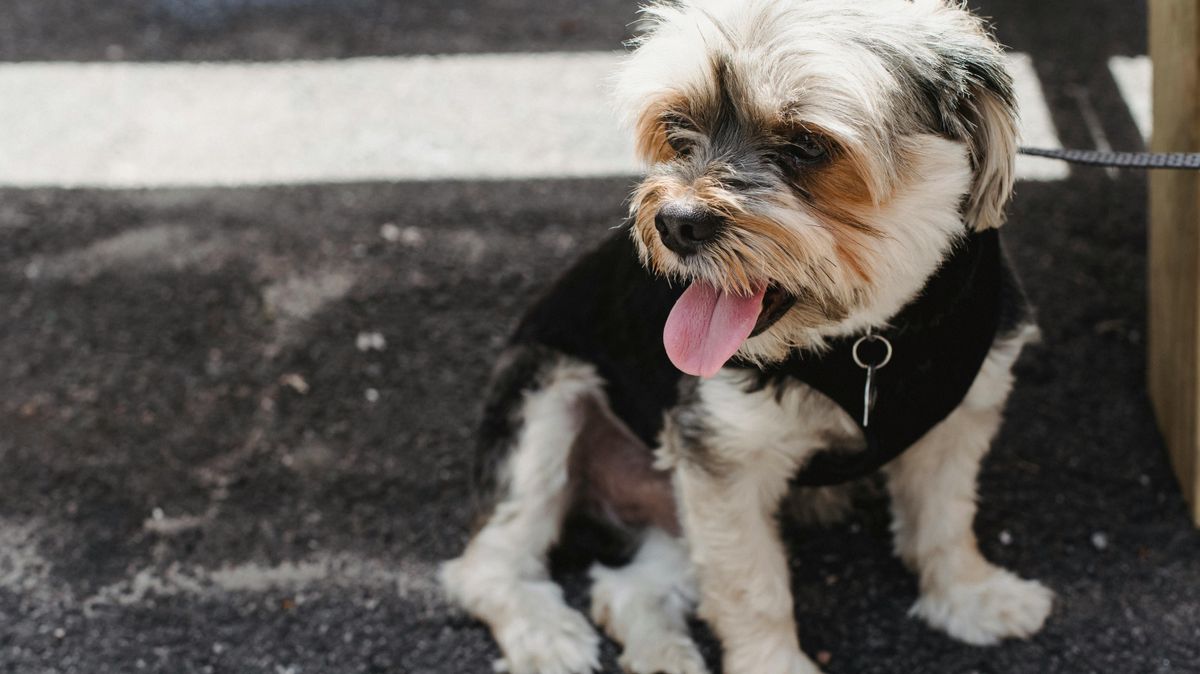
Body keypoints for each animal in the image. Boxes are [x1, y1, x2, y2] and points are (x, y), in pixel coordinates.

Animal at [441, 1, 1051, 671]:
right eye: (676, 124)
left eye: (808, 144)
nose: (676, 223)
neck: (866, 338)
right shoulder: (723, 455)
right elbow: (751, 587)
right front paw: (776, 662)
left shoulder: (956, 419)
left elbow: (944, 518)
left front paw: (969, 596)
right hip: (541, 397)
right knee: (489, 565)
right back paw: (545, 637)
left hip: (672, 508)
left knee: (624, 589)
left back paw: (663, 654)